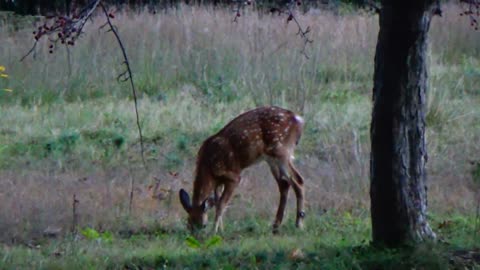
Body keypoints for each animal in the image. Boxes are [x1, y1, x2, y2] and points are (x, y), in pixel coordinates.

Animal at [178, 106, 306, 233]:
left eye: (203, 225)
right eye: (188, 225)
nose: (196, 237)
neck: (209, 167)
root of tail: (298, 120)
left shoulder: (233, 176)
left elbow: (221, 204)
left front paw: (214, 232)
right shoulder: (218, 182)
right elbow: (218, 201)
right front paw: (221, 229)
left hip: (282, 151)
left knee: (298, 180)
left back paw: (299, 223)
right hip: (271, 159)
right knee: (284, 184)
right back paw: (276, 225)